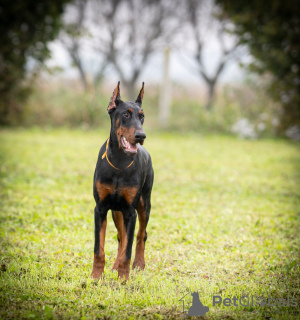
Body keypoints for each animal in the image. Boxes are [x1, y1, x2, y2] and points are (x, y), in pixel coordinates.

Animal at [90, 80, 154, 280]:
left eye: (142, 117)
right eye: (126, 114)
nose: (141, 136)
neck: (119, 162)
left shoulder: (130, 211)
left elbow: (129, 247)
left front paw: (124, 278)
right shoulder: (101, 208)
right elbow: (99, 249)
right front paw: (96, 276)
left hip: (143, 204)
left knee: (140, 235)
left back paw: (138, 264)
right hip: (116, 211)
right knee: (121, 237)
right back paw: (115, 266)